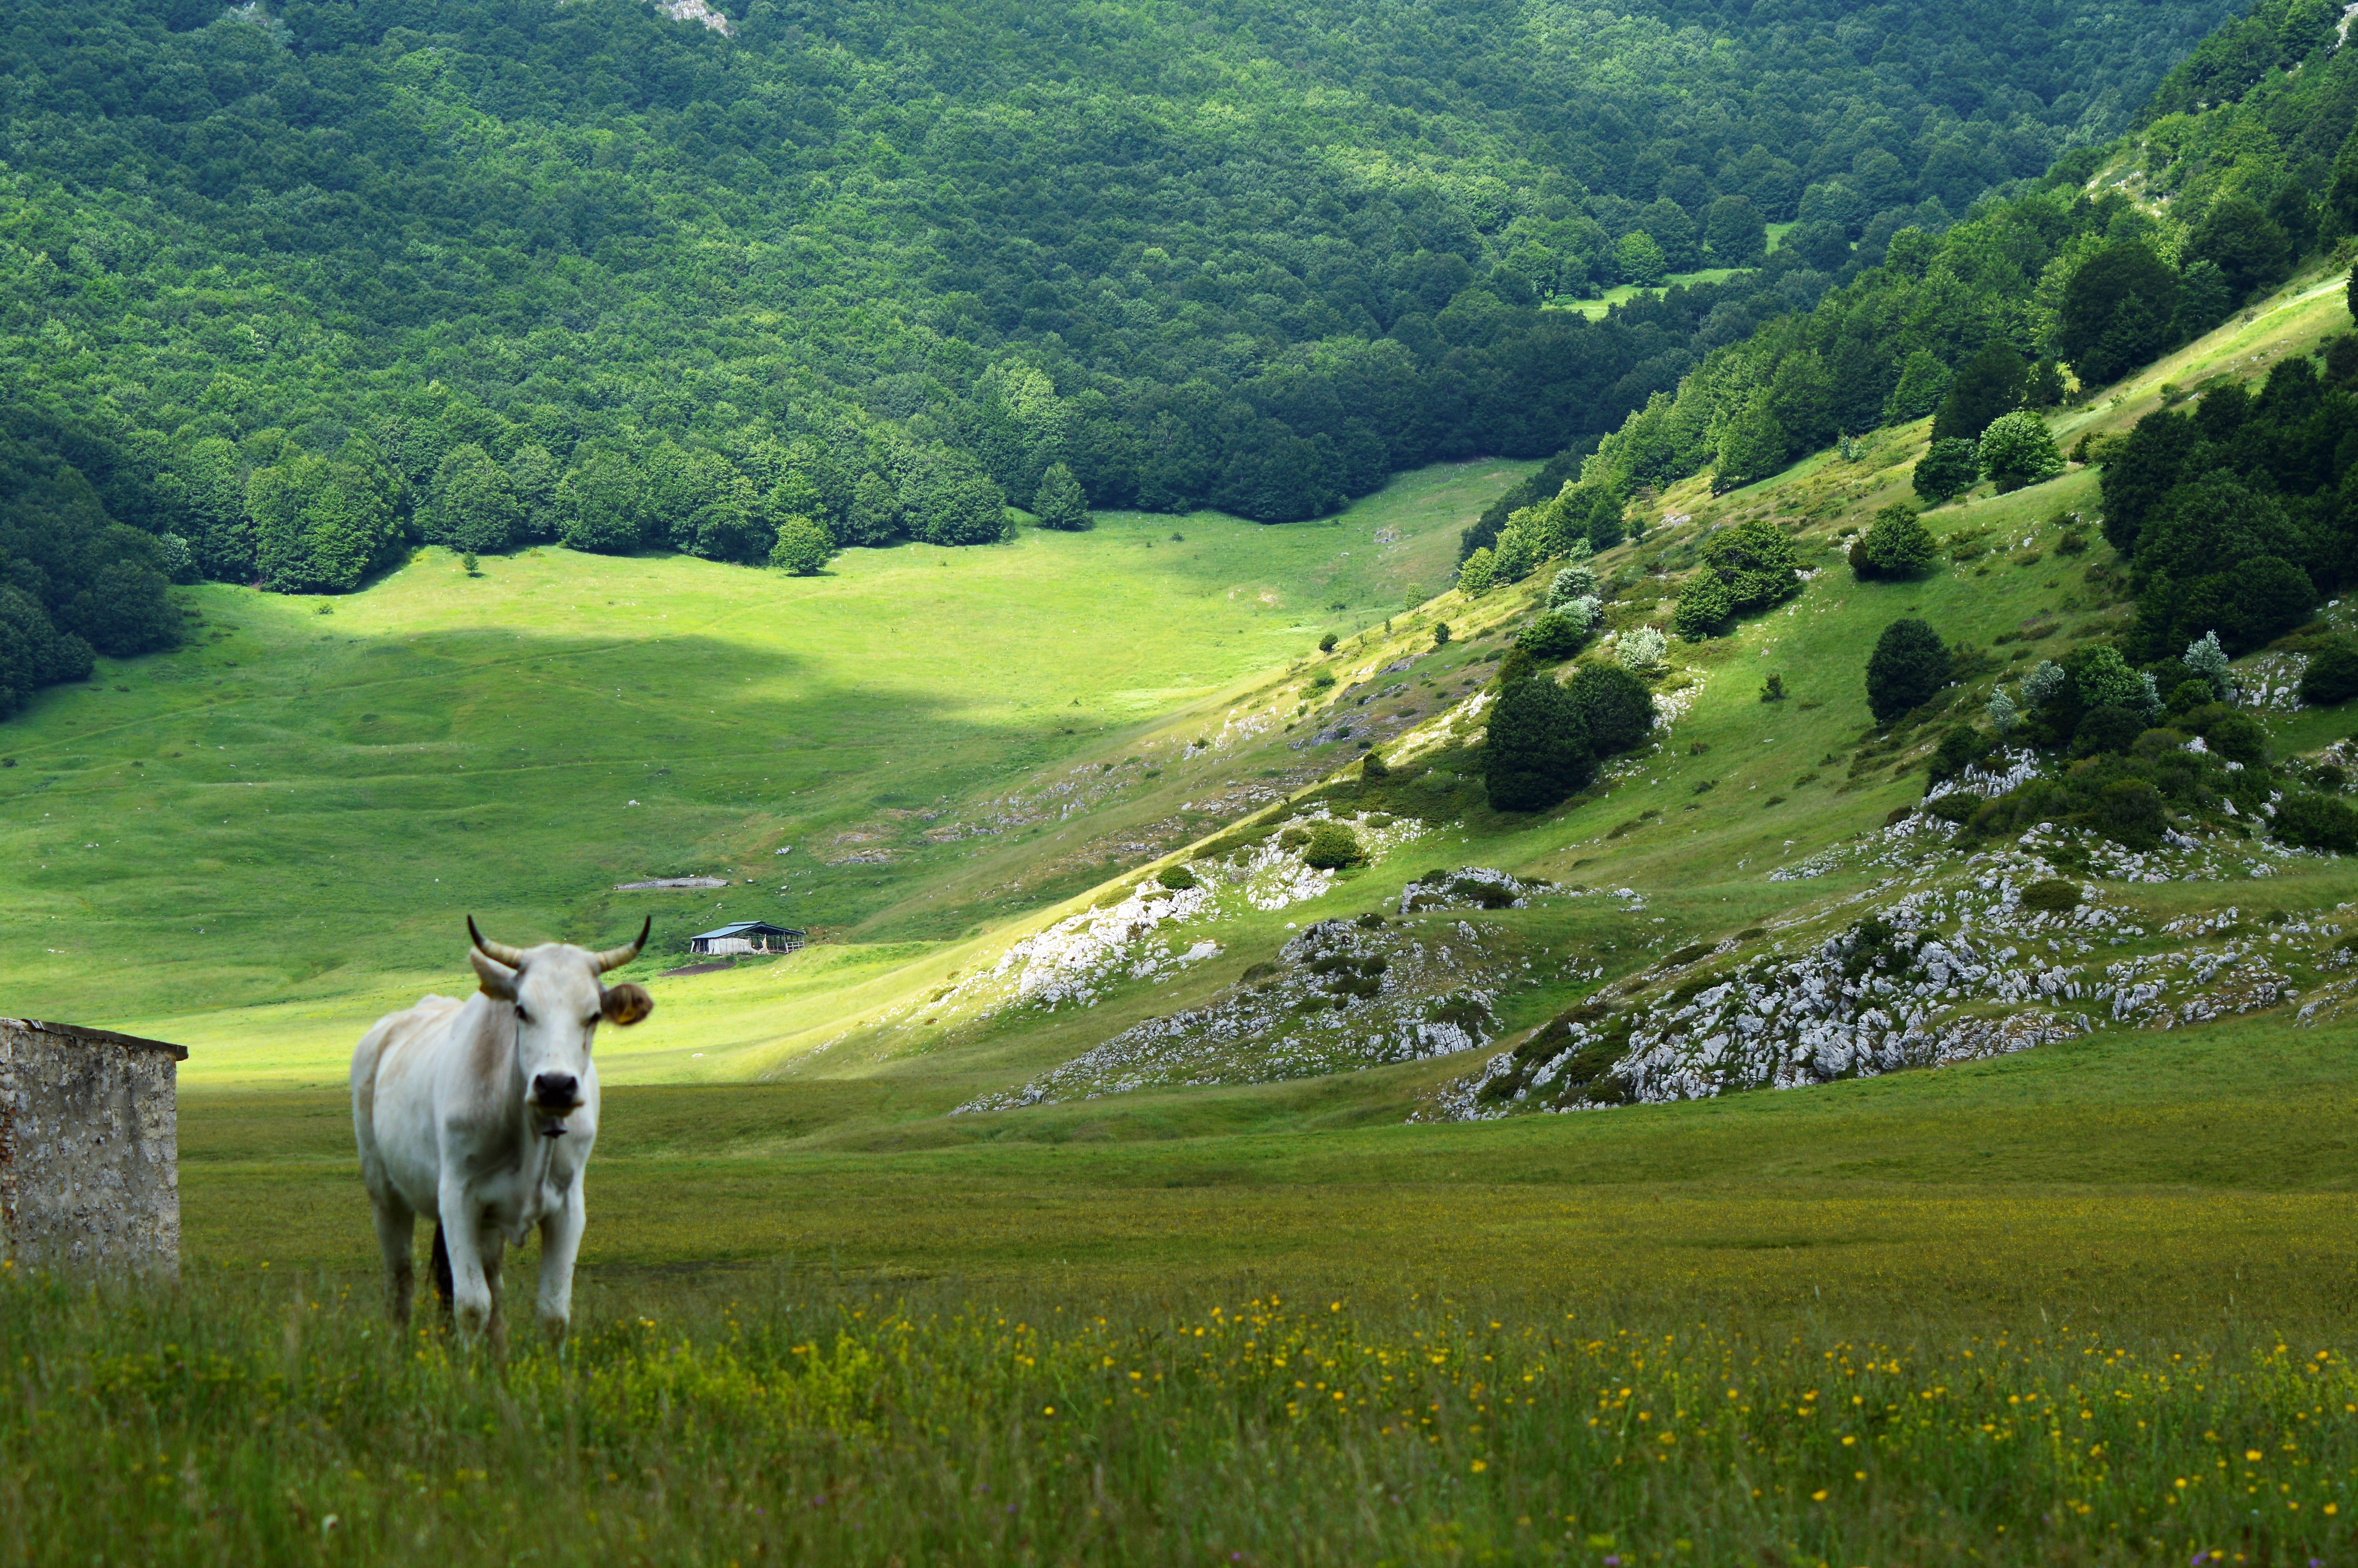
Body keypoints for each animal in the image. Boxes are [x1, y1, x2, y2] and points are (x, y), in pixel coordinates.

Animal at [344, 919, 655, 1349]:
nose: (556, 1085)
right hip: (385, 1194)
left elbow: (553, 1312)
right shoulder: (457, 1198)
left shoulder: (568, 1207)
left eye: (593, 1015)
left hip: (488, 1225)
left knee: (493, 1284)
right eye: (522, 1010)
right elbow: (472, 1306)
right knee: (400, 1283)